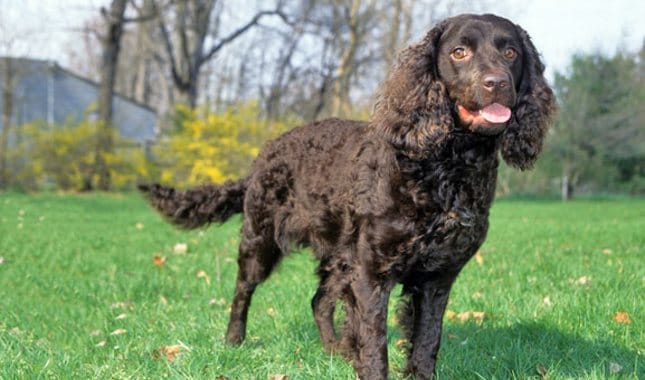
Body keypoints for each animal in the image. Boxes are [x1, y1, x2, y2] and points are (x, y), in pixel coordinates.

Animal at [141, 13, 552, 378]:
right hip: (260, 242)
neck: (447, 169)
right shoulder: (372, 273)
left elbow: (426, 345)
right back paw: (234, 341)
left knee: (319, 301)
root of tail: (263, 156)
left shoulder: (437, 278)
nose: (496, 83)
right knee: (242, 291)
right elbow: (374, 345)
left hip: (340, 259)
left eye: (511, 52)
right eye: (459, 52)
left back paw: (333, 349)